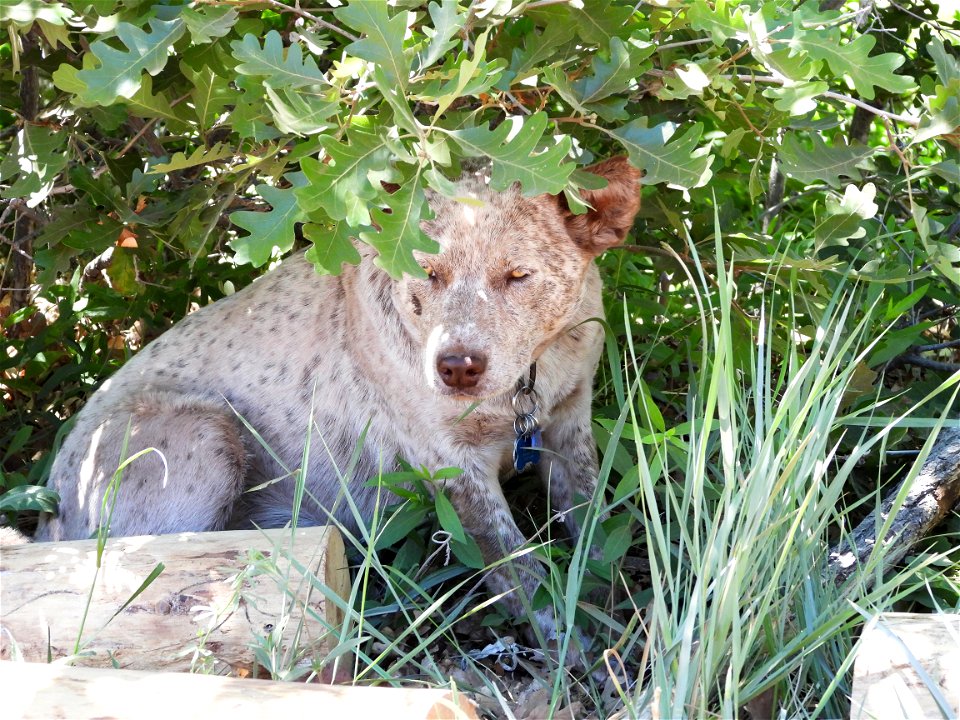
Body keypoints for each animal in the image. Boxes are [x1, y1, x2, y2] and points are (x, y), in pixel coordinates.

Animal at [37, 156, 640, 636]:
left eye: (518, 274)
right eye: (428, 272)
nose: (456, 367)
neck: (527, 384)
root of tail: (53, 510)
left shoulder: (569, 426)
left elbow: (597, 533)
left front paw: (618, 616)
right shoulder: (454, 468)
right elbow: (524, 573)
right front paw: (574, 657)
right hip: (205, 435)